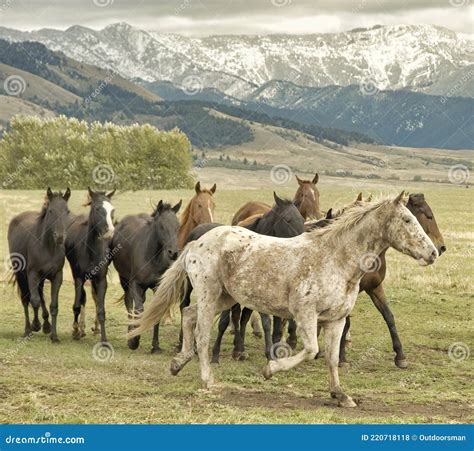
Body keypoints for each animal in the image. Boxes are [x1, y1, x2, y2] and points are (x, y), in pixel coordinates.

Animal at [7, 188, 71, 342]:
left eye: (67, 211)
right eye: (51, 211)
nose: (60, 237)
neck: (48, 248)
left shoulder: (56, 276)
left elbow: (53, 305)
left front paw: (54, 336)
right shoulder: (32, 274)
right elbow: (34, 301)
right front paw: (35, 325)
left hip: (41, 278)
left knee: (41, 295)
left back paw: (46, 325)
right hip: (21, 274)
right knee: (26, 299)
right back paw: (28, 330)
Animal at [65, 189, 115, 344]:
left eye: (112, 210)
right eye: (97, 208)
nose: (110, 231)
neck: (91, 250)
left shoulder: (101, 279)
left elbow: (101, 308)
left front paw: (104, 339)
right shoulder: (79, 277)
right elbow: (77, 304)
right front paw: (75, 331)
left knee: (94, 298)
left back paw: (95, 328)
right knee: (84, 299)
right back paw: (81, 329)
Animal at [112, 200, 182, 354]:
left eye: (177, 226)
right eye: (161, 226)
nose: (173, 253)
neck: (152, 257)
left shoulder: (158, 287)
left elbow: (156, 313)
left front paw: (155, 346)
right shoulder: (135, 284)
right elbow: (139, 310)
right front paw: (134, 340)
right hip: (124, 280)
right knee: (129, 303)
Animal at [180, 193, 306, 364]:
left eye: (302, 219)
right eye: (287, 219)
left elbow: (267, 323)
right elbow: (232, 320)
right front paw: (218, 354)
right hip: (192, 284)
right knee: (185, 304)